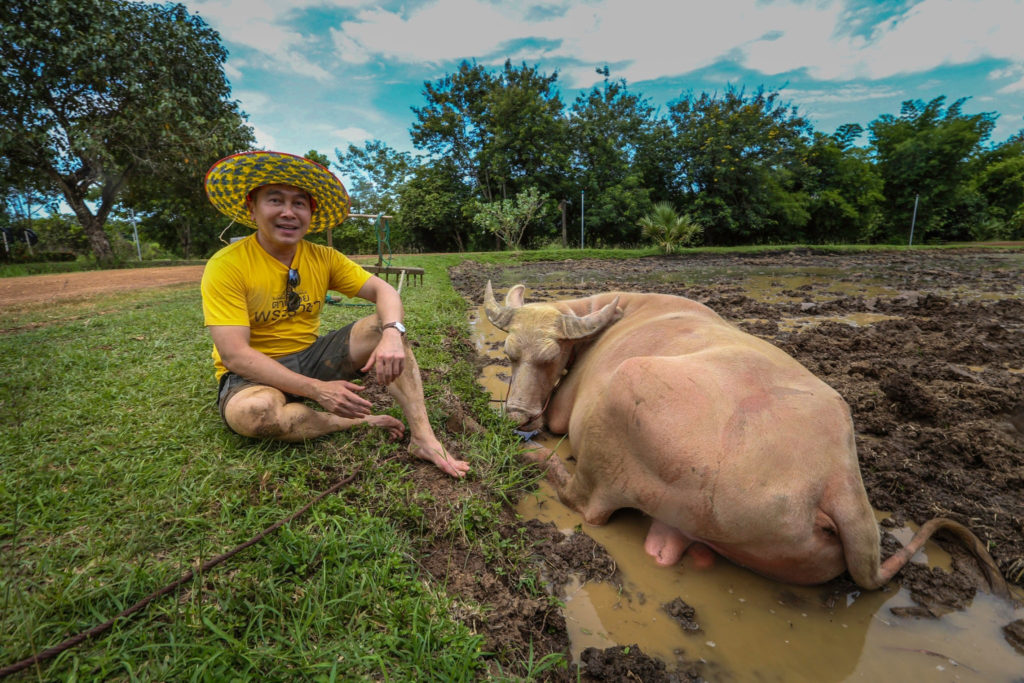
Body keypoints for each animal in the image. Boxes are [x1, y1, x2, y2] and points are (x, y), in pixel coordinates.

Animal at [485, 280, 1007, 593]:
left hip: (621, 401)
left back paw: (533, 460)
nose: (519, 416)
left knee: (586, 502)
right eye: (508, 355)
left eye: (552, 358)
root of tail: (838, 480)